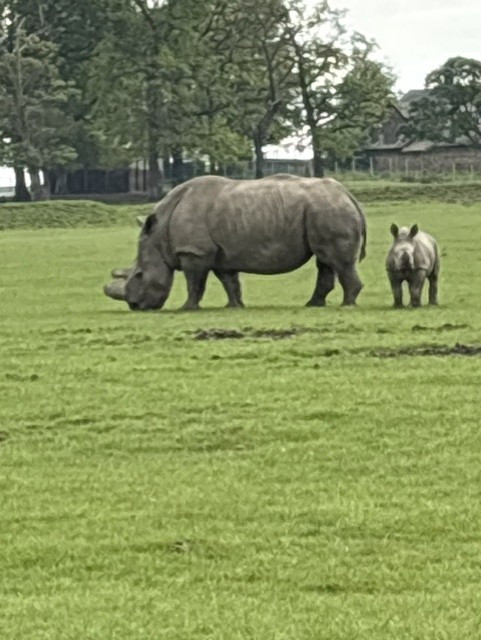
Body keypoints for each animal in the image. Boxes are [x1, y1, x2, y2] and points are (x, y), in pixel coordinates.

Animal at [105, 174, 367, 311]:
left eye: (139, 275)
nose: (135, 306)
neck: (159, 236)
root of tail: (346, 193)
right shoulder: (221, 254)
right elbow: (229, 282)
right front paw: (234, 307)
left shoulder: (194, 252)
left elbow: (194, 282)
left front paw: (187, 309)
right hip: (322, 210)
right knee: (324, 260)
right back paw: (313, 305)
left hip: (328, 210)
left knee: (338, 261)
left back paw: (347, 305)